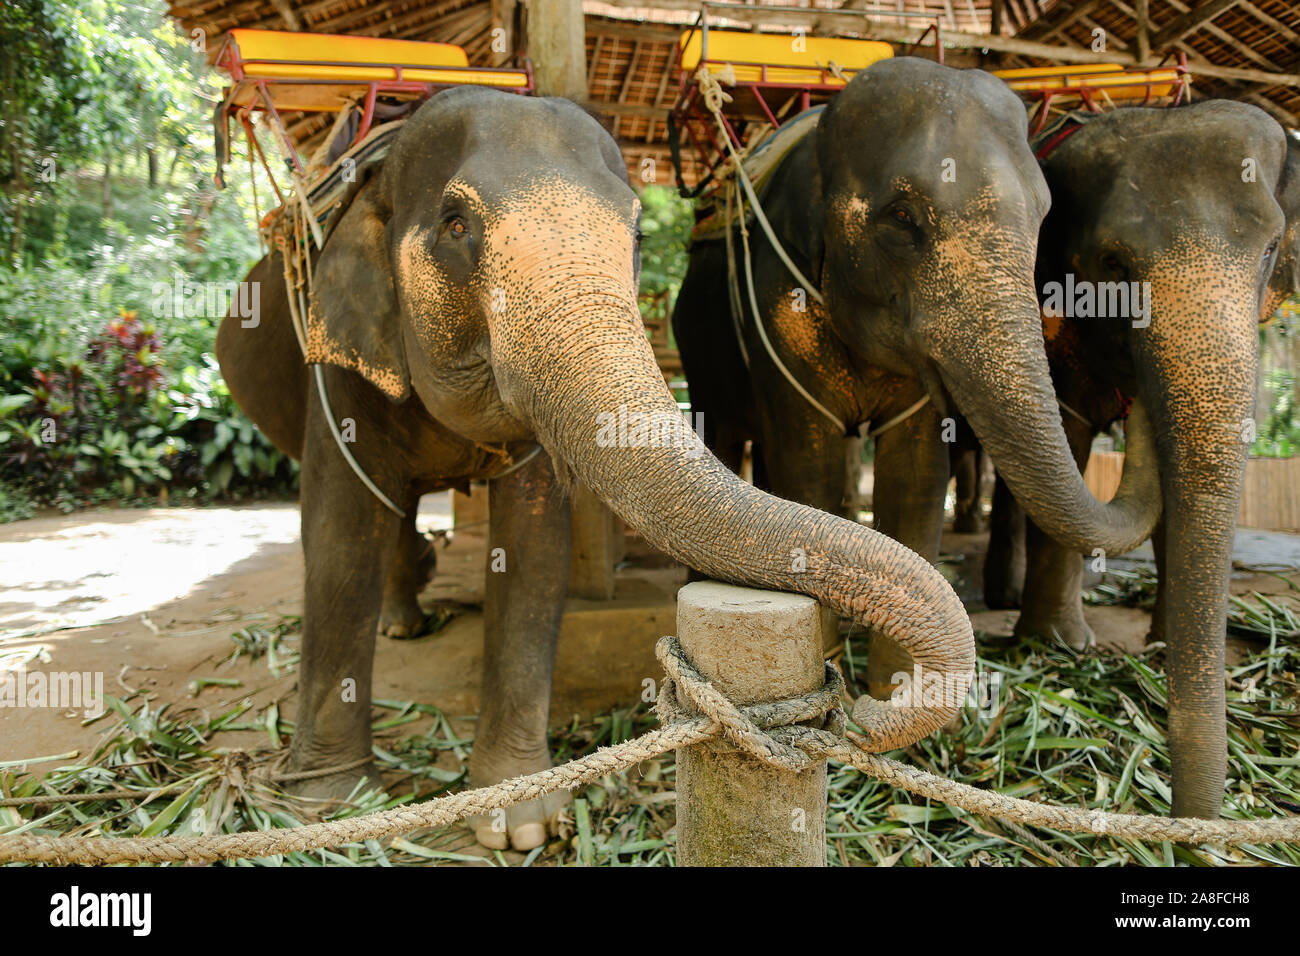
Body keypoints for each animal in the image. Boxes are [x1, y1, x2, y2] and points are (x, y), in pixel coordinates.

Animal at [218, 87, 977, 853]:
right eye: (455, 225)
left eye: (637, 235)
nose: (858, 713)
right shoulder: (336, 364)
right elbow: (339, 537)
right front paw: (327, 809)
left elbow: (533, 549)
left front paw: (521, 821)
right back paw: (401, 630)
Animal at [670, 57, 1159, 697]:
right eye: (901, 217)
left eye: (1043, 219)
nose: (1139, 407)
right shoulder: (777, 299)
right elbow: (809, 461)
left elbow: (918, 476)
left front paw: (902, 690)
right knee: (725, 439)